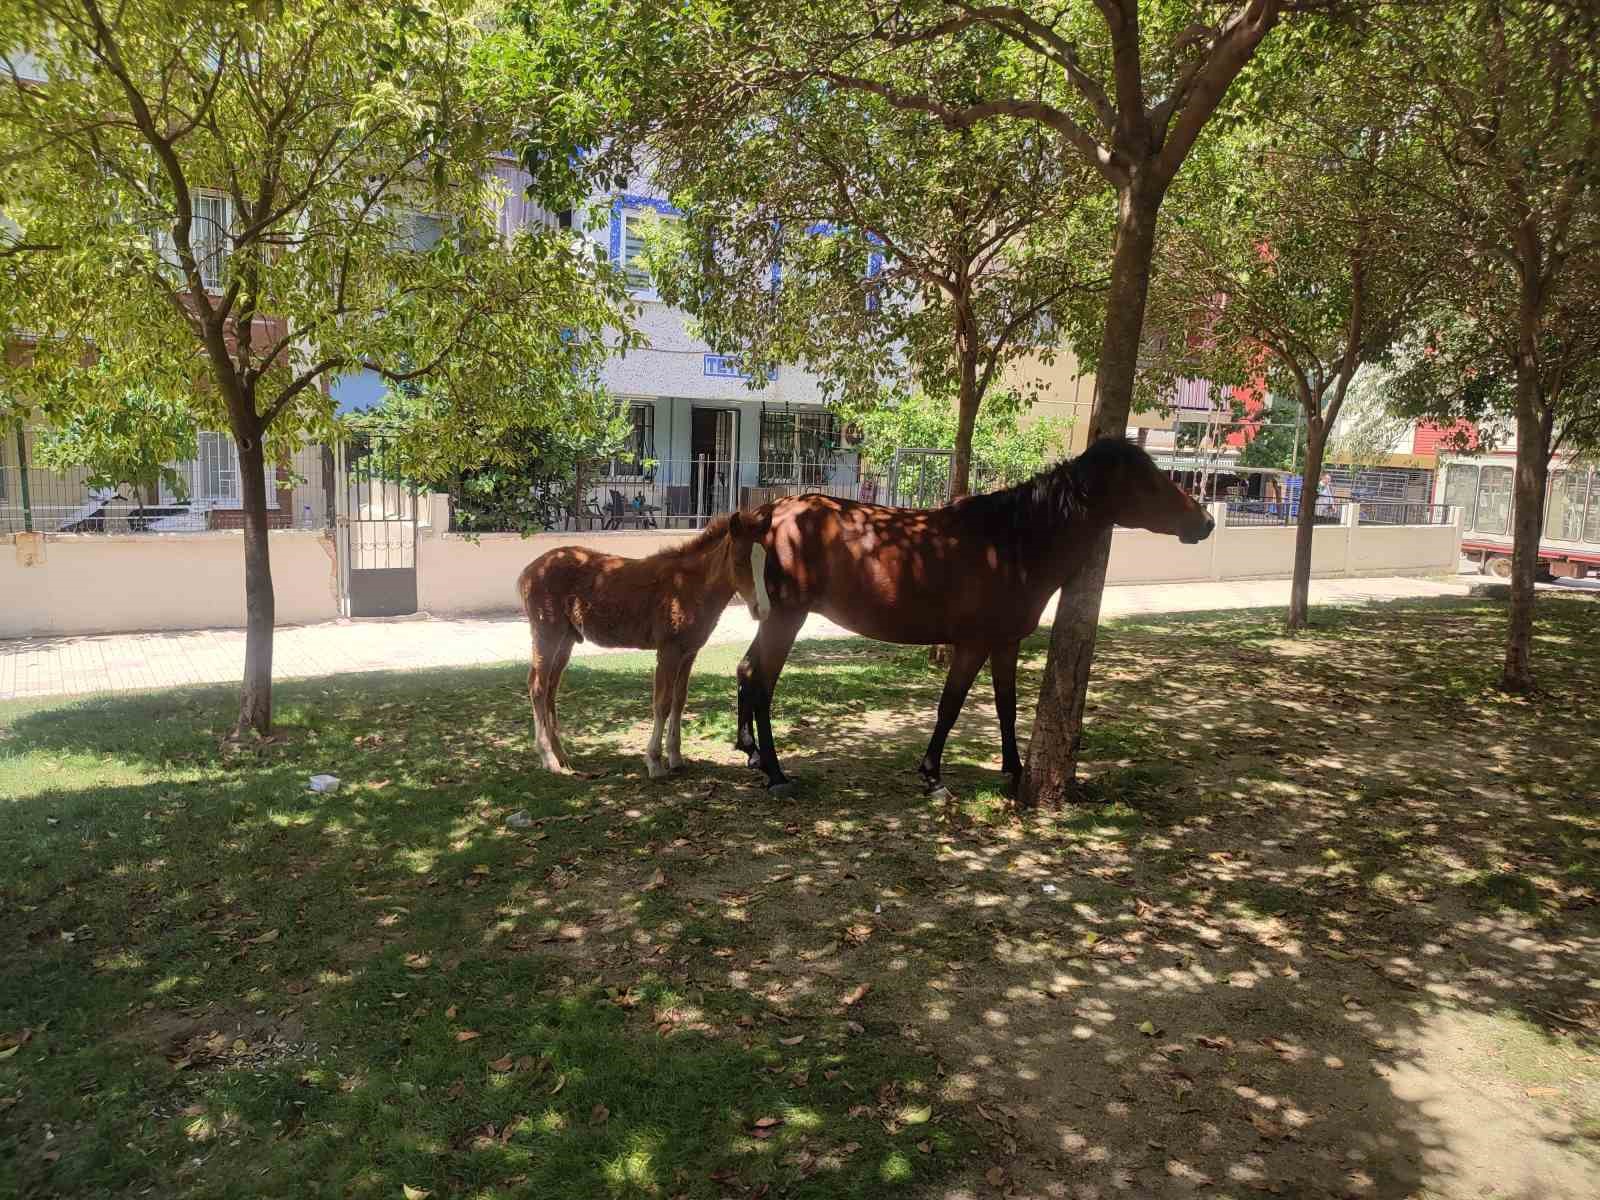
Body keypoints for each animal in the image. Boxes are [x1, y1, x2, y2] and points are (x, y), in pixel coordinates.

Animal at [515, 515, 771, 780]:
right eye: (739, 560)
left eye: (766, 561)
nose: (762, 610)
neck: (691, 585)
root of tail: (529, 571)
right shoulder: (668, 651)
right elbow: (662, 704)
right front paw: (655, 762)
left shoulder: (689, 653)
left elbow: (679, 701)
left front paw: (676, 757)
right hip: (547, 634)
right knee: (537, 686)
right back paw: (548, 758)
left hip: (566, 639)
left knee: (551, 689)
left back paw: (562, 756)